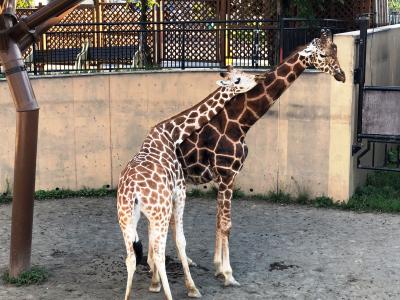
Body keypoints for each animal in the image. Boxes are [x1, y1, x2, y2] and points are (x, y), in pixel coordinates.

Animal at [116, 66, 260, 300]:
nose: (256, 78)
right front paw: (191, 288)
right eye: (238, 79)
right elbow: (181, 240)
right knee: (159, 253)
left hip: (126, 217)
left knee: (131, 257)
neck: (170, 133)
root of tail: (133, 193)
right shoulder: (180, 191)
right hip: (159, 212)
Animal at [176, 28, 346, 286]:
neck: (240, 123)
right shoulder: (228, 174)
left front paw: (218, 267)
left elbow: (218, 220)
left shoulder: (223, 177)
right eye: (324, 54)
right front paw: (228, 274)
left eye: (335, 51)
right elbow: (226, 224)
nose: (342, 75)